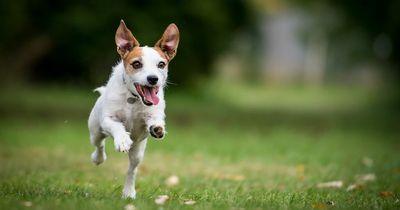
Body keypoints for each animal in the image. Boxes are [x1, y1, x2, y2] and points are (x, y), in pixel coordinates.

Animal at [89, 19, 181, 199]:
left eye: (161, 64)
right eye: (136, 64)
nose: (153, 79)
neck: (133, 98)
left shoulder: (152, 114)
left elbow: (154, 120)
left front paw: (157, 128)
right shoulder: (108, 119)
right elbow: (116, 126)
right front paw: (122, 139)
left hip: (138, 152)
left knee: (132, 170)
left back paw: (129, 192)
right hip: (95, 130)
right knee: (99, 144)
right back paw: (98, 158)